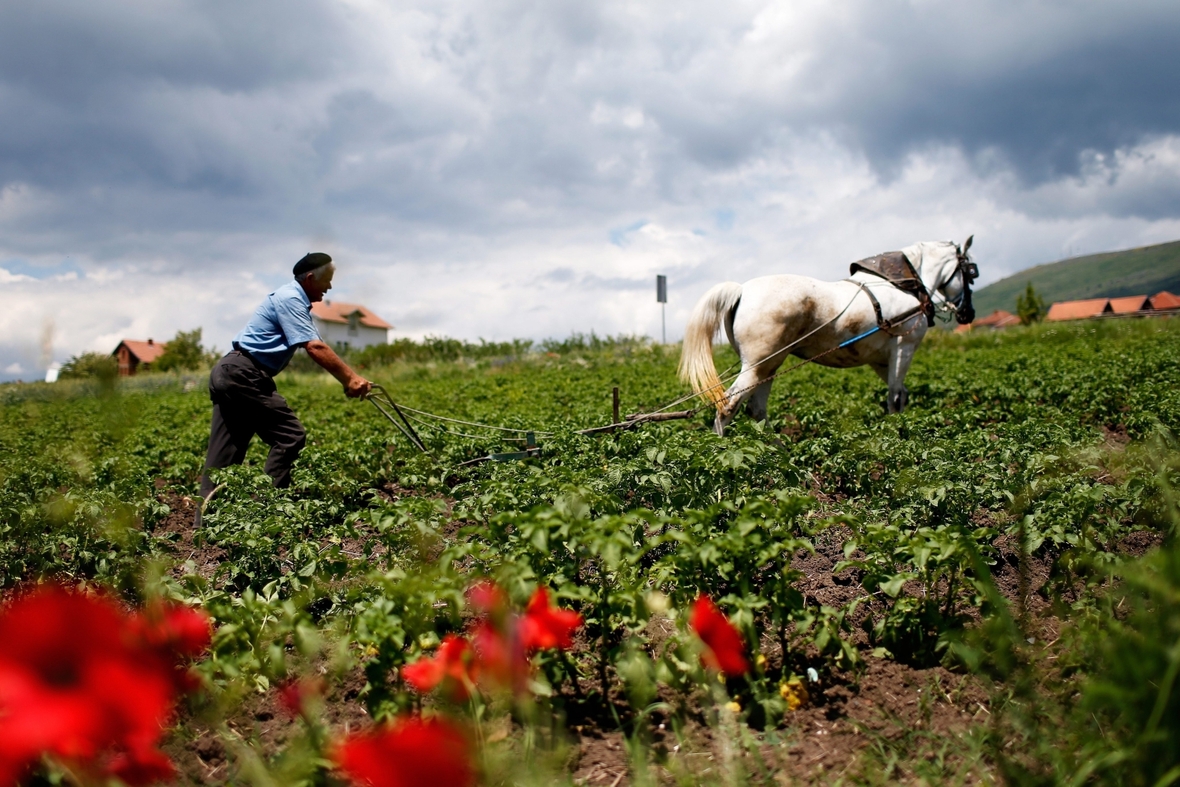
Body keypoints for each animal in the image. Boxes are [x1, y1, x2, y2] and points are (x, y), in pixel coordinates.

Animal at [684, 240, 977, 436]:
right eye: (971, 272)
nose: (968, 313)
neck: (900, 285)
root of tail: (741, 290)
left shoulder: (881, 360)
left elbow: (900, 394)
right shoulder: (905, 346)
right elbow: (895, 397)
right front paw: (897, 434)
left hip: (769, 365)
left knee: (755, 410)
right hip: (758, 365)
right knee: (728, 405)